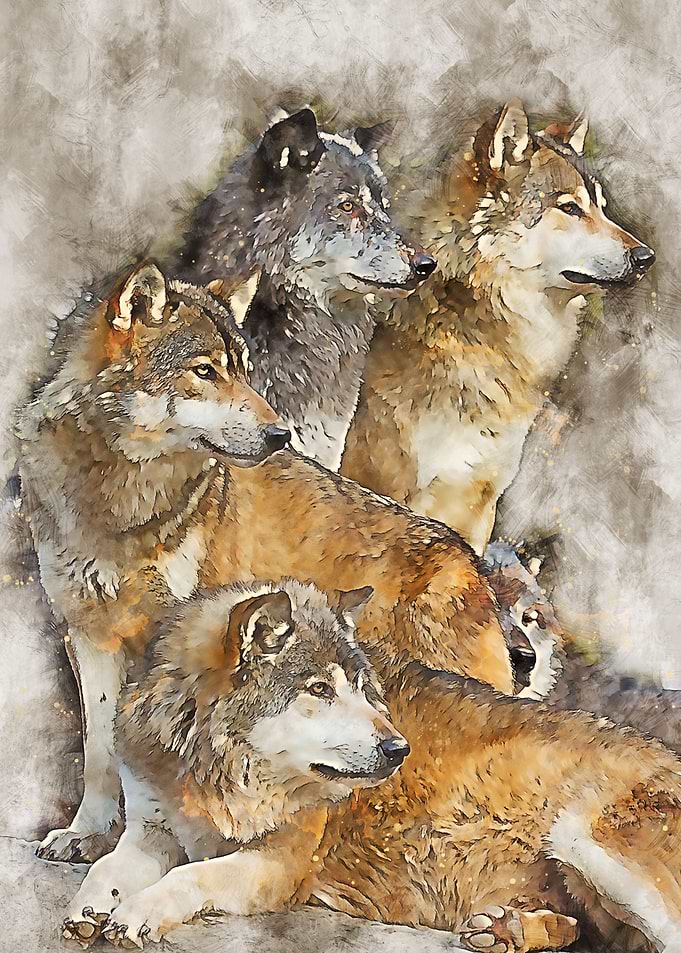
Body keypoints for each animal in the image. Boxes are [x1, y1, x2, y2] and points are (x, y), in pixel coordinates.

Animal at [19, 259, 513, 864]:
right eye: (205, 371)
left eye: (245, 372)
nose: (282, 433)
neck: (122, 505)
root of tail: (470, 561)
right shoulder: (89, 635)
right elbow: (99, 752)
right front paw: (87, 833)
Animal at [64, 579, 681, 953]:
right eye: (318, 689)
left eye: (362, 690)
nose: (398, 749)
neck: (215, 774)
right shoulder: (151, 829)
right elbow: (108, 868)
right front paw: (92, 906)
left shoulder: (279, 864)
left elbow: (191, 875)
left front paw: (140, 911)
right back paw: (507, 930)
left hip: (586, 843)